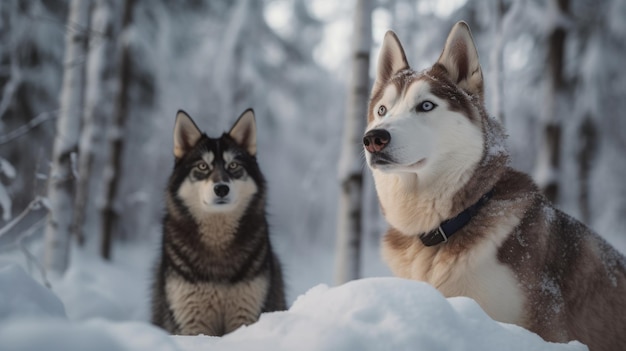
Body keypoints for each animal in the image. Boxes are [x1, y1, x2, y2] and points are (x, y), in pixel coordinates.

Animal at [151, 109, 286, 336]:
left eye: (233, 165)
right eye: (203, 166)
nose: (221, 188)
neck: (217, 242)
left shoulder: (245, 314)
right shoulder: (193, 323)